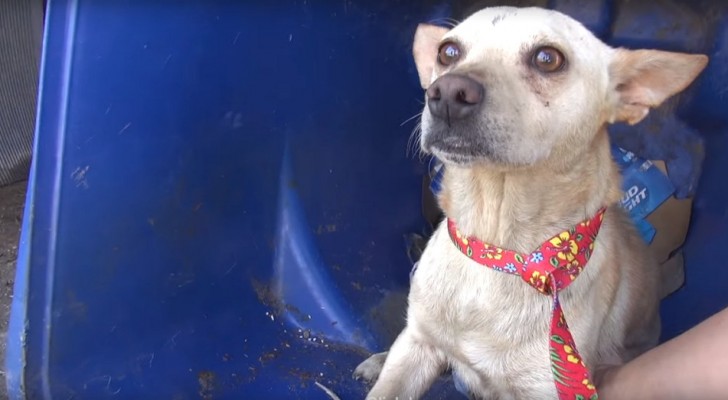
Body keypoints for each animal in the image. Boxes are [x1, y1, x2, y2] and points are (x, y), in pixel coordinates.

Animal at [352, 6, 704, 400]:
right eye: (448, 52)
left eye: (548, 58)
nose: (447, 92)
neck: (496, 250)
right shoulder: (417, 346)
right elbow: (390, 386)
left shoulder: (546, 387)